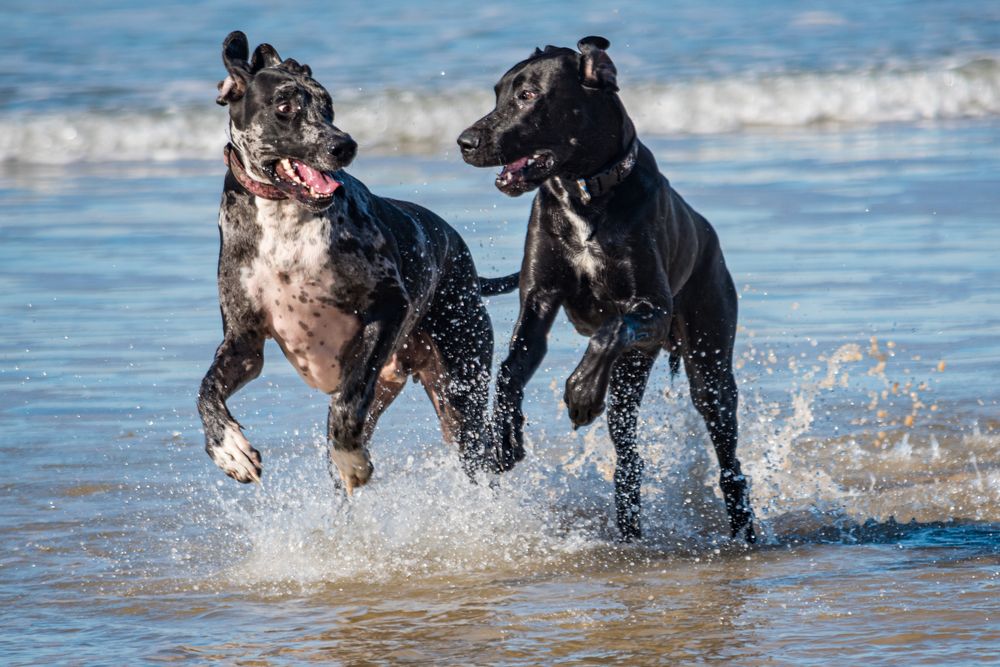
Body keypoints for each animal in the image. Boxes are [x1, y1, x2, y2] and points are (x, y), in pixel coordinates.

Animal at [197, 31, 516, 490]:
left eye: (327, 104)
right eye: (284, 106)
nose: (343, 144)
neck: (285, 219)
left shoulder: (388, 308)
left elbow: (347, 406)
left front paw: (351, 458)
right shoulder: (244, 343)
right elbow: (206, 390)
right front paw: (228, 449)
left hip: (459, 388)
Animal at [458, 36, 752, 544]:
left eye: (528, 96)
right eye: (497, 93)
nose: (465, 142)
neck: (584, 194)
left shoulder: (653, 307)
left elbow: (610, 328)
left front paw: (579, 393)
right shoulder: (538, 299)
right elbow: (512, 366)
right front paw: (505, 436)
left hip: (708, 361)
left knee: (727, 456)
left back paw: (744, 528)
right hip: (636, 371)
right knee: (629, 454)